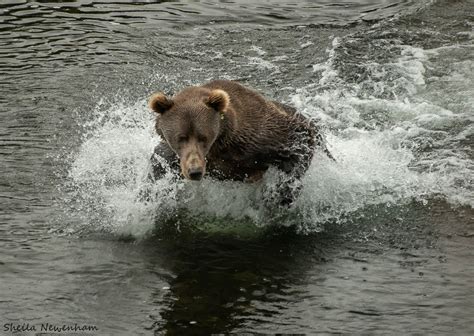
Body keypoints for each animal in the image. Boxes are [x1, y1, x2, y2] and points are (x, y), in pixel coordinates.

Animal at [148, 80, 330, 206]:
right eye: (181, 137)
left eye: (203, 137)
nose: (195, 172)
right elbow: (160, 162)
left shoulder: (259, 137)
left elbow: (297, 142)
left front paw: (280, 195)